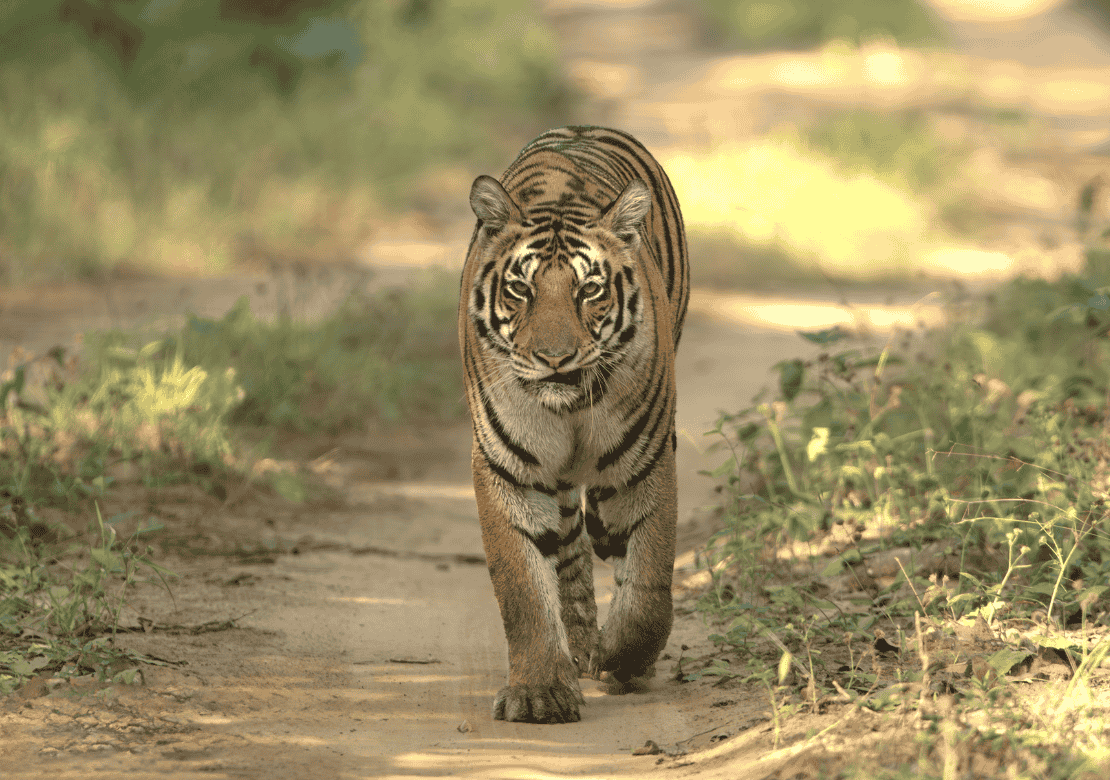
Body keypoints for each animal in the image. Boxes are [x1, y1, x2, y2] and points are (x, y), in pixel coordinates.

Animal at [458, 125, 689, 723]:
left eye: (589, 290)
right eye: (521, 289)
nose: (555, 358)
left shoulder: (644, 460)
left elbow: (649, 581)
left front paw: (624, 658)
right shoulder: (509, 466)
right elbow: (522, 586)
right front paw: (539, 691)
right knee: (567, 550)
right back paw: (579, 645)